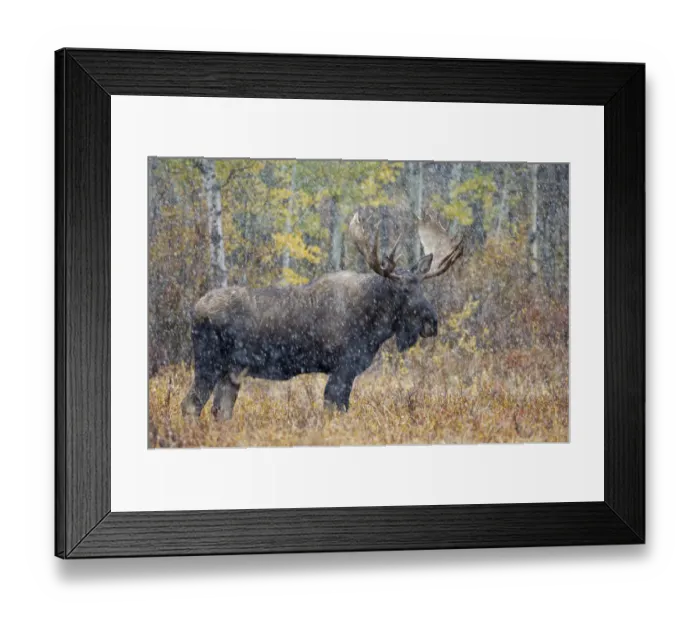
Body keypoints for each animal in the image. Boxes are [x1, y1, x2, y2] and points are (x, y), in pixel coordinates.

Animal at [181, 213, 464, 419]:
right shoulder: (343, 367)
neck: (375, 327)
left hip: (231, 371)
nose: (432, 322)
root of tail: (194, 310)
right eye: (403, 289)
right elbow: (335, 409)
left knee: (220, 409)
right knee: (191, 404)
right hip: (208, 362)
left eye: (422, 287)